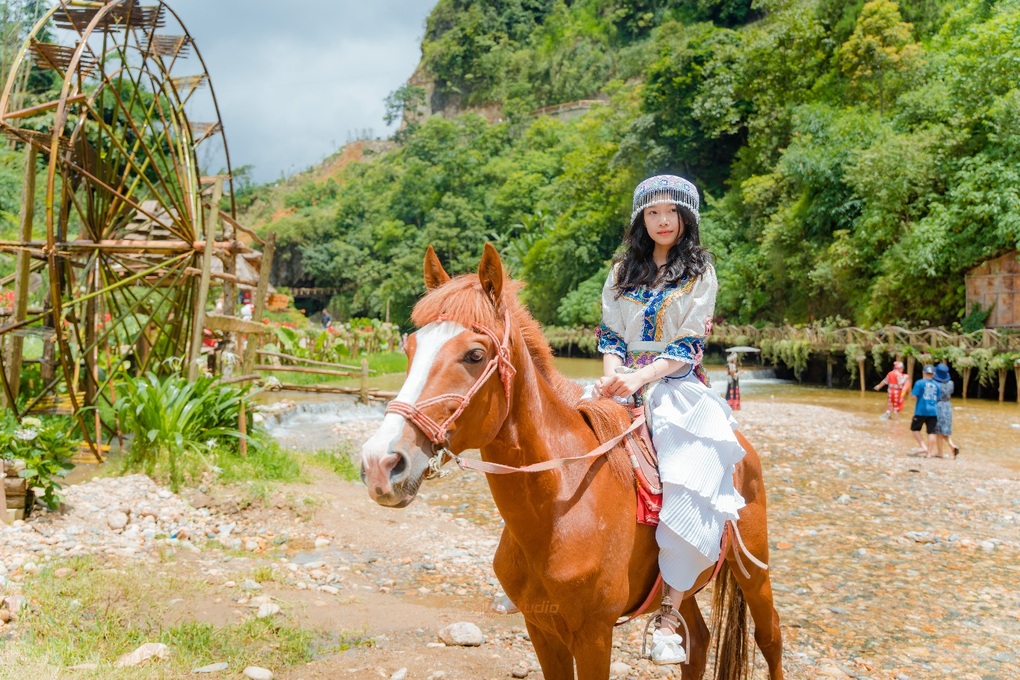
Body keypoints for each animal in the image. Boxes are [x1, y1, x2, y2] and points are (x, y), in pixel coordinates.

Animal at [363, 245, 783, 680]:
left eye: (475, 355)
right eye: (409, 349)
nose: (381, 462)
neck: (559, 508)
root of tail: (743, 451)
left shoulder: (594, 634)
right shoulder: (541, 627)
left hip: (755, 571)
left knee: (769, 637)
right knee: (697, 641)